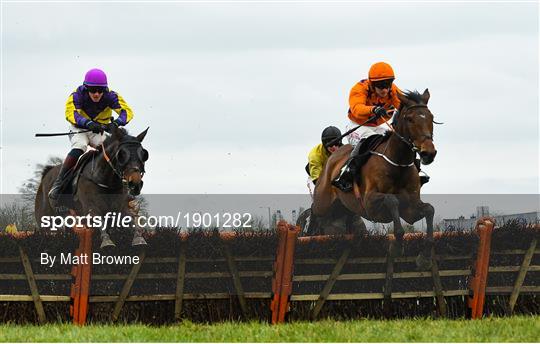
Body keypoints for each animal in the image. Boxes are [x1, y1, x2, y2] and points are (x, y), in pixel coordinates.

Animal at [312, 89, 438, 272]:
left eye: (431, 117)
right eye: (410, 119)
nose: (429, 153)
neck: (397, 163)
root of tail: (332, 157)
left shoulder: (410, 208)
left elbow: (429, 209)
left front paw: (425, 257)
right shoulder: (369, 202)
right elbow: (392, 200)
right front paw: (397, 247)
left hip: (342, 211)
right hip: (322, 202)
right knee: (315, 212)